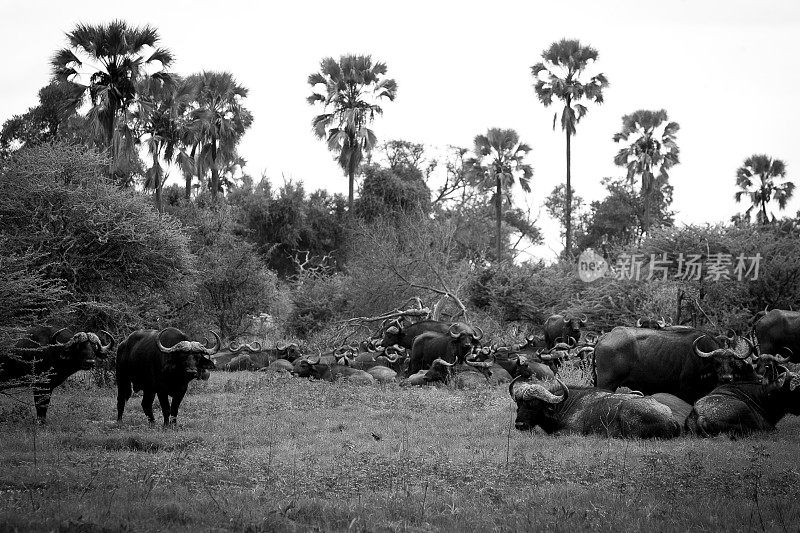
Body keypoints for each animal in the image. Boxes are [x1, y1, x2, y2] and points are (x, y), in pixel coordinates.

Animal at [592, 324, 756, 404]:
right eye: (716, 362)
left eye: (732, 362)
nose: (726, 378)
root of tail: (604, 337)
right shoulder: (685, 389)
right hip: (606, 383)